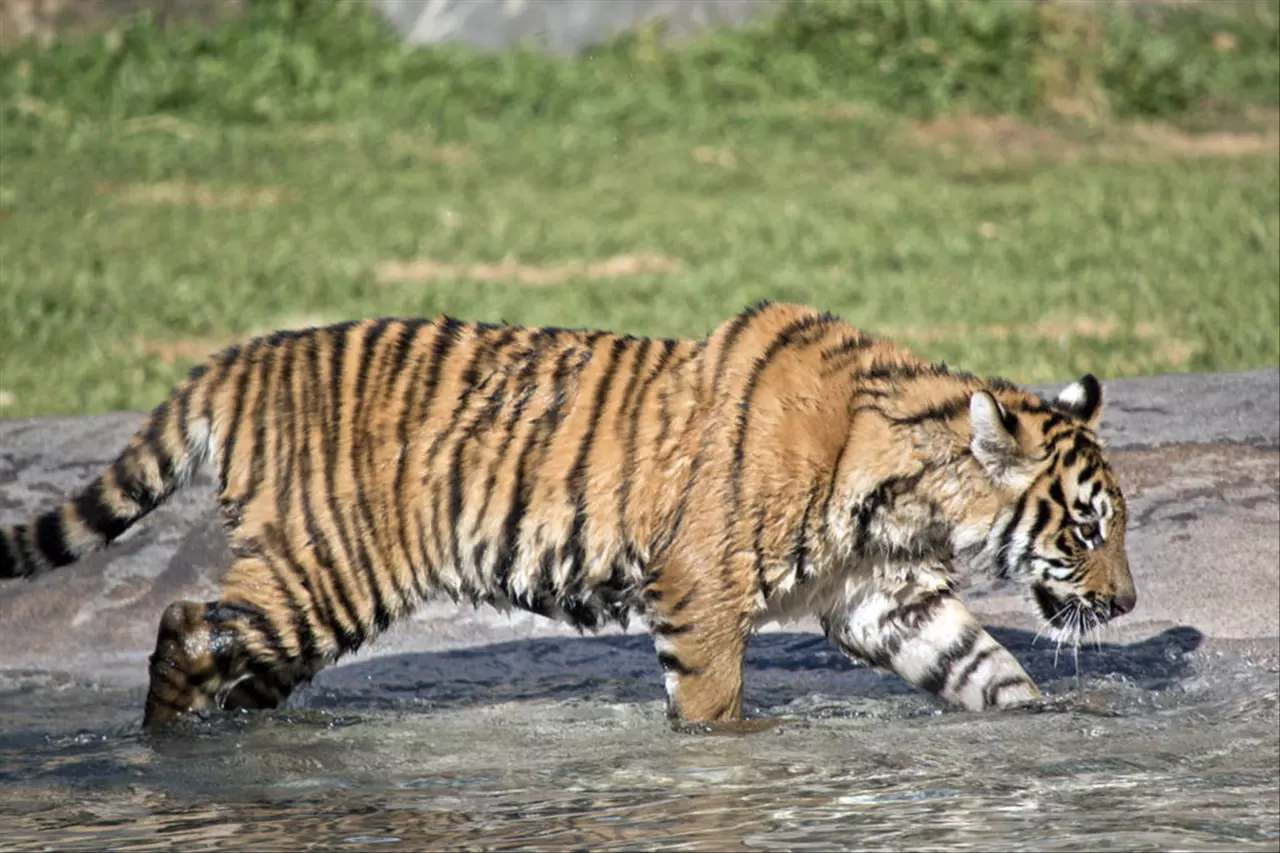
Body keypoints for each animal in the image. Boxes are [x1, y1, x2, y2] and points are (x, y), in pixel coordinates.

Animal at [0, 298, 1141, 722]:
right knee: (187, 624)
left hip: (311, 602)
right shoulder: (697, 590)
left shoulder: (885, 598)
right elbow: (714, 710)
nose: (1128, 603)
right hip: (328, 572)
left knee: (232, 655)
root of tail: (234, 360)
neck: (907, 491)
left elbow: (986, 670)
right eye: (1087, 526)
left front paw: (1044, 725)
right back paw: (167, 750)